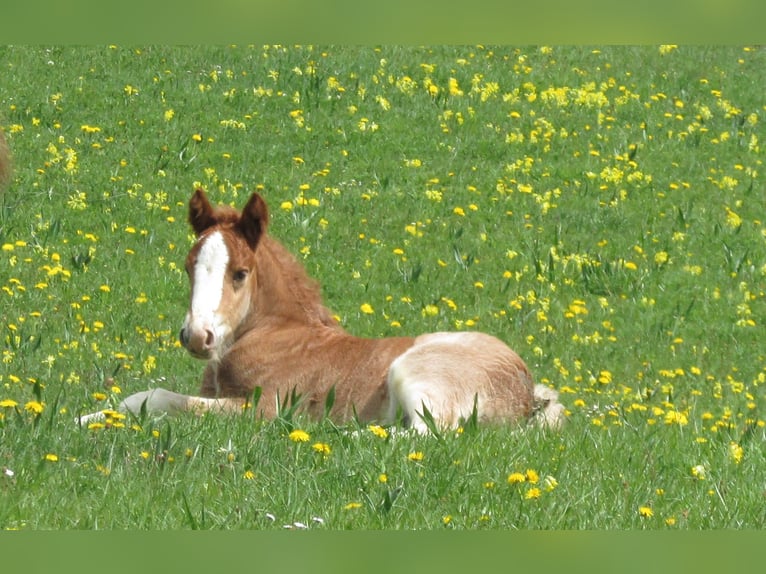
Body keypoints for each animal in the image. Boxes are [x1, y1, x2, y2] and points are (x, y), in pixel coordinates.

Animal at [79, 189, 564, 432]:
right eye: (188, 266)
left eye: (240, 273)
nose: (198, 337)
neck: (274, 333)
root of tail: (527, 391)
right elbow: (138, 399)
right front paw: (85, 418)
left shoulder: (263, 407)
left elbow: (162, 399)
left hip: (415, 372)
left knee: (428, 431)